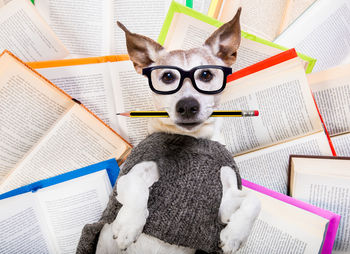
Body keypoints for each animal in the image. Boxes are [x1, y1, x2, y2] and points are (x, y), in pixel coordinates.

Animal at [95, 7, 260, 254]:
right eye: (168, 77)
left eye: (206, 75)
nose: (188, 106)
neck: (192, 138)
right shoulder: (127, 178)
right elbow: (137, 188)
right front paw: (128, 225)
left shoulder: (226, 201)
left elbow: (255, 200)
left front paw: (235, 235)